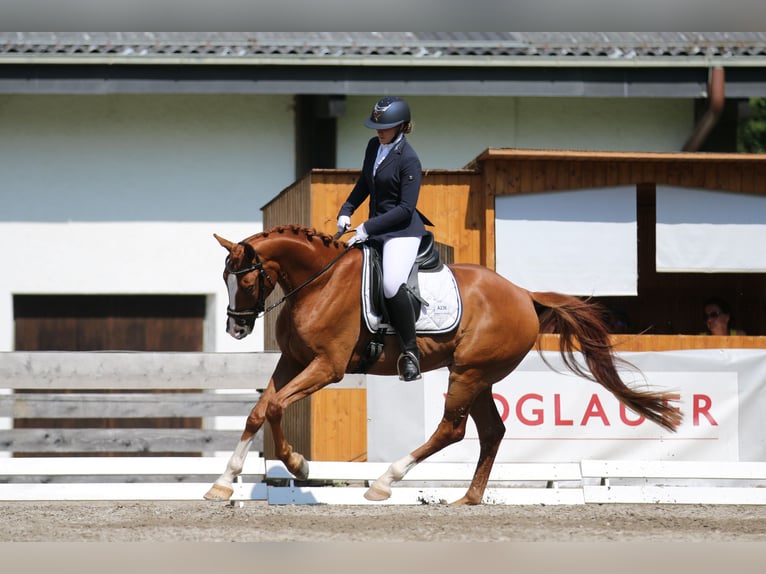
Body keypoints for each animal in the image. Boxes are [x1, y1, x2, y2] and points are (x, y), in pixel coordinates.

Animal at [204, 225, 684, 508]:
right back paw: (468, 499)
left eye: (248, 278)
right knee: (491, 431)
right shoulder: (294, 361)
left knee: (452, 429)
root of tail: (523, 294)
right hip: (479, 376)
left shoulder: (327, 367)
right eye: (225, 278)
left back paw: (385, 481)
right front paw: (224, 482)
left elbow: (275, 408)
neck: (318, 283)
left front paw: (299, 465)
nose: (235, 328)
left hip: (468, 373)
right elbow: (258, 411)